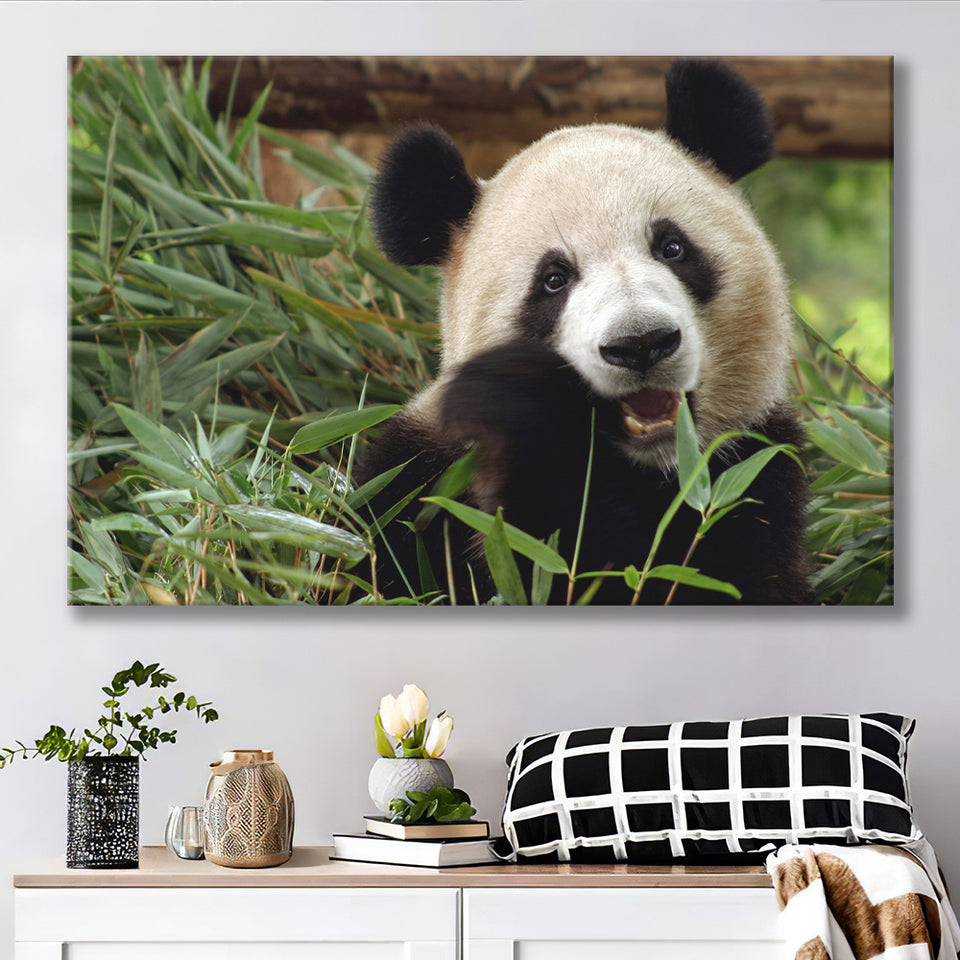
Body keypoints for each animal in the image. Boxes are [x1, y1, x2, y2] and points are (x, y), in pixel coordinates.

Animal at [356, 58, 810, 605]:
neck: (649, 470)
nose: (641, 344)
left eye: (673, 248)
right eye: (554, 280)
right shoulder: (418, 482)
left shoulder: (753, 473)